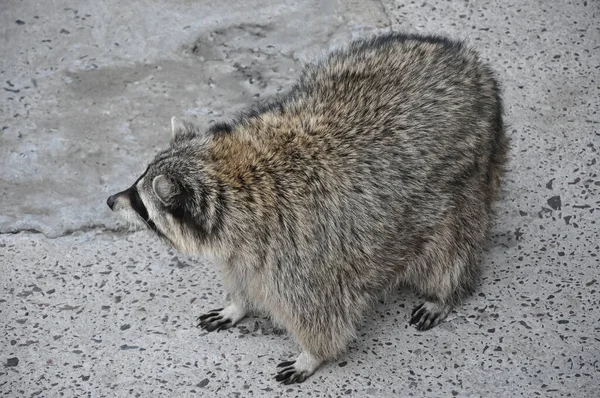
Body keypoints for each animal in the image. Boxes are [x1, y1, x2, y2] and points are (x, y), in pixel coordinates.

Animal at [106, 32, 506, 384]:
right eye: (136, 181)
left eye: (141, 204)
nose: (110, 201)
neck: (232, 177)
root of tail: (473, 64)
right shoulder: (245, 249)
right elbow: (242, 274)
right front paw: (239, 304)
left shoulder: (301, 251)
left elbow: (320, 315)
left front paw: (312, 355)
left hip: (463, 186)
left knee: (450, 252)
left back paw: (445, 293)